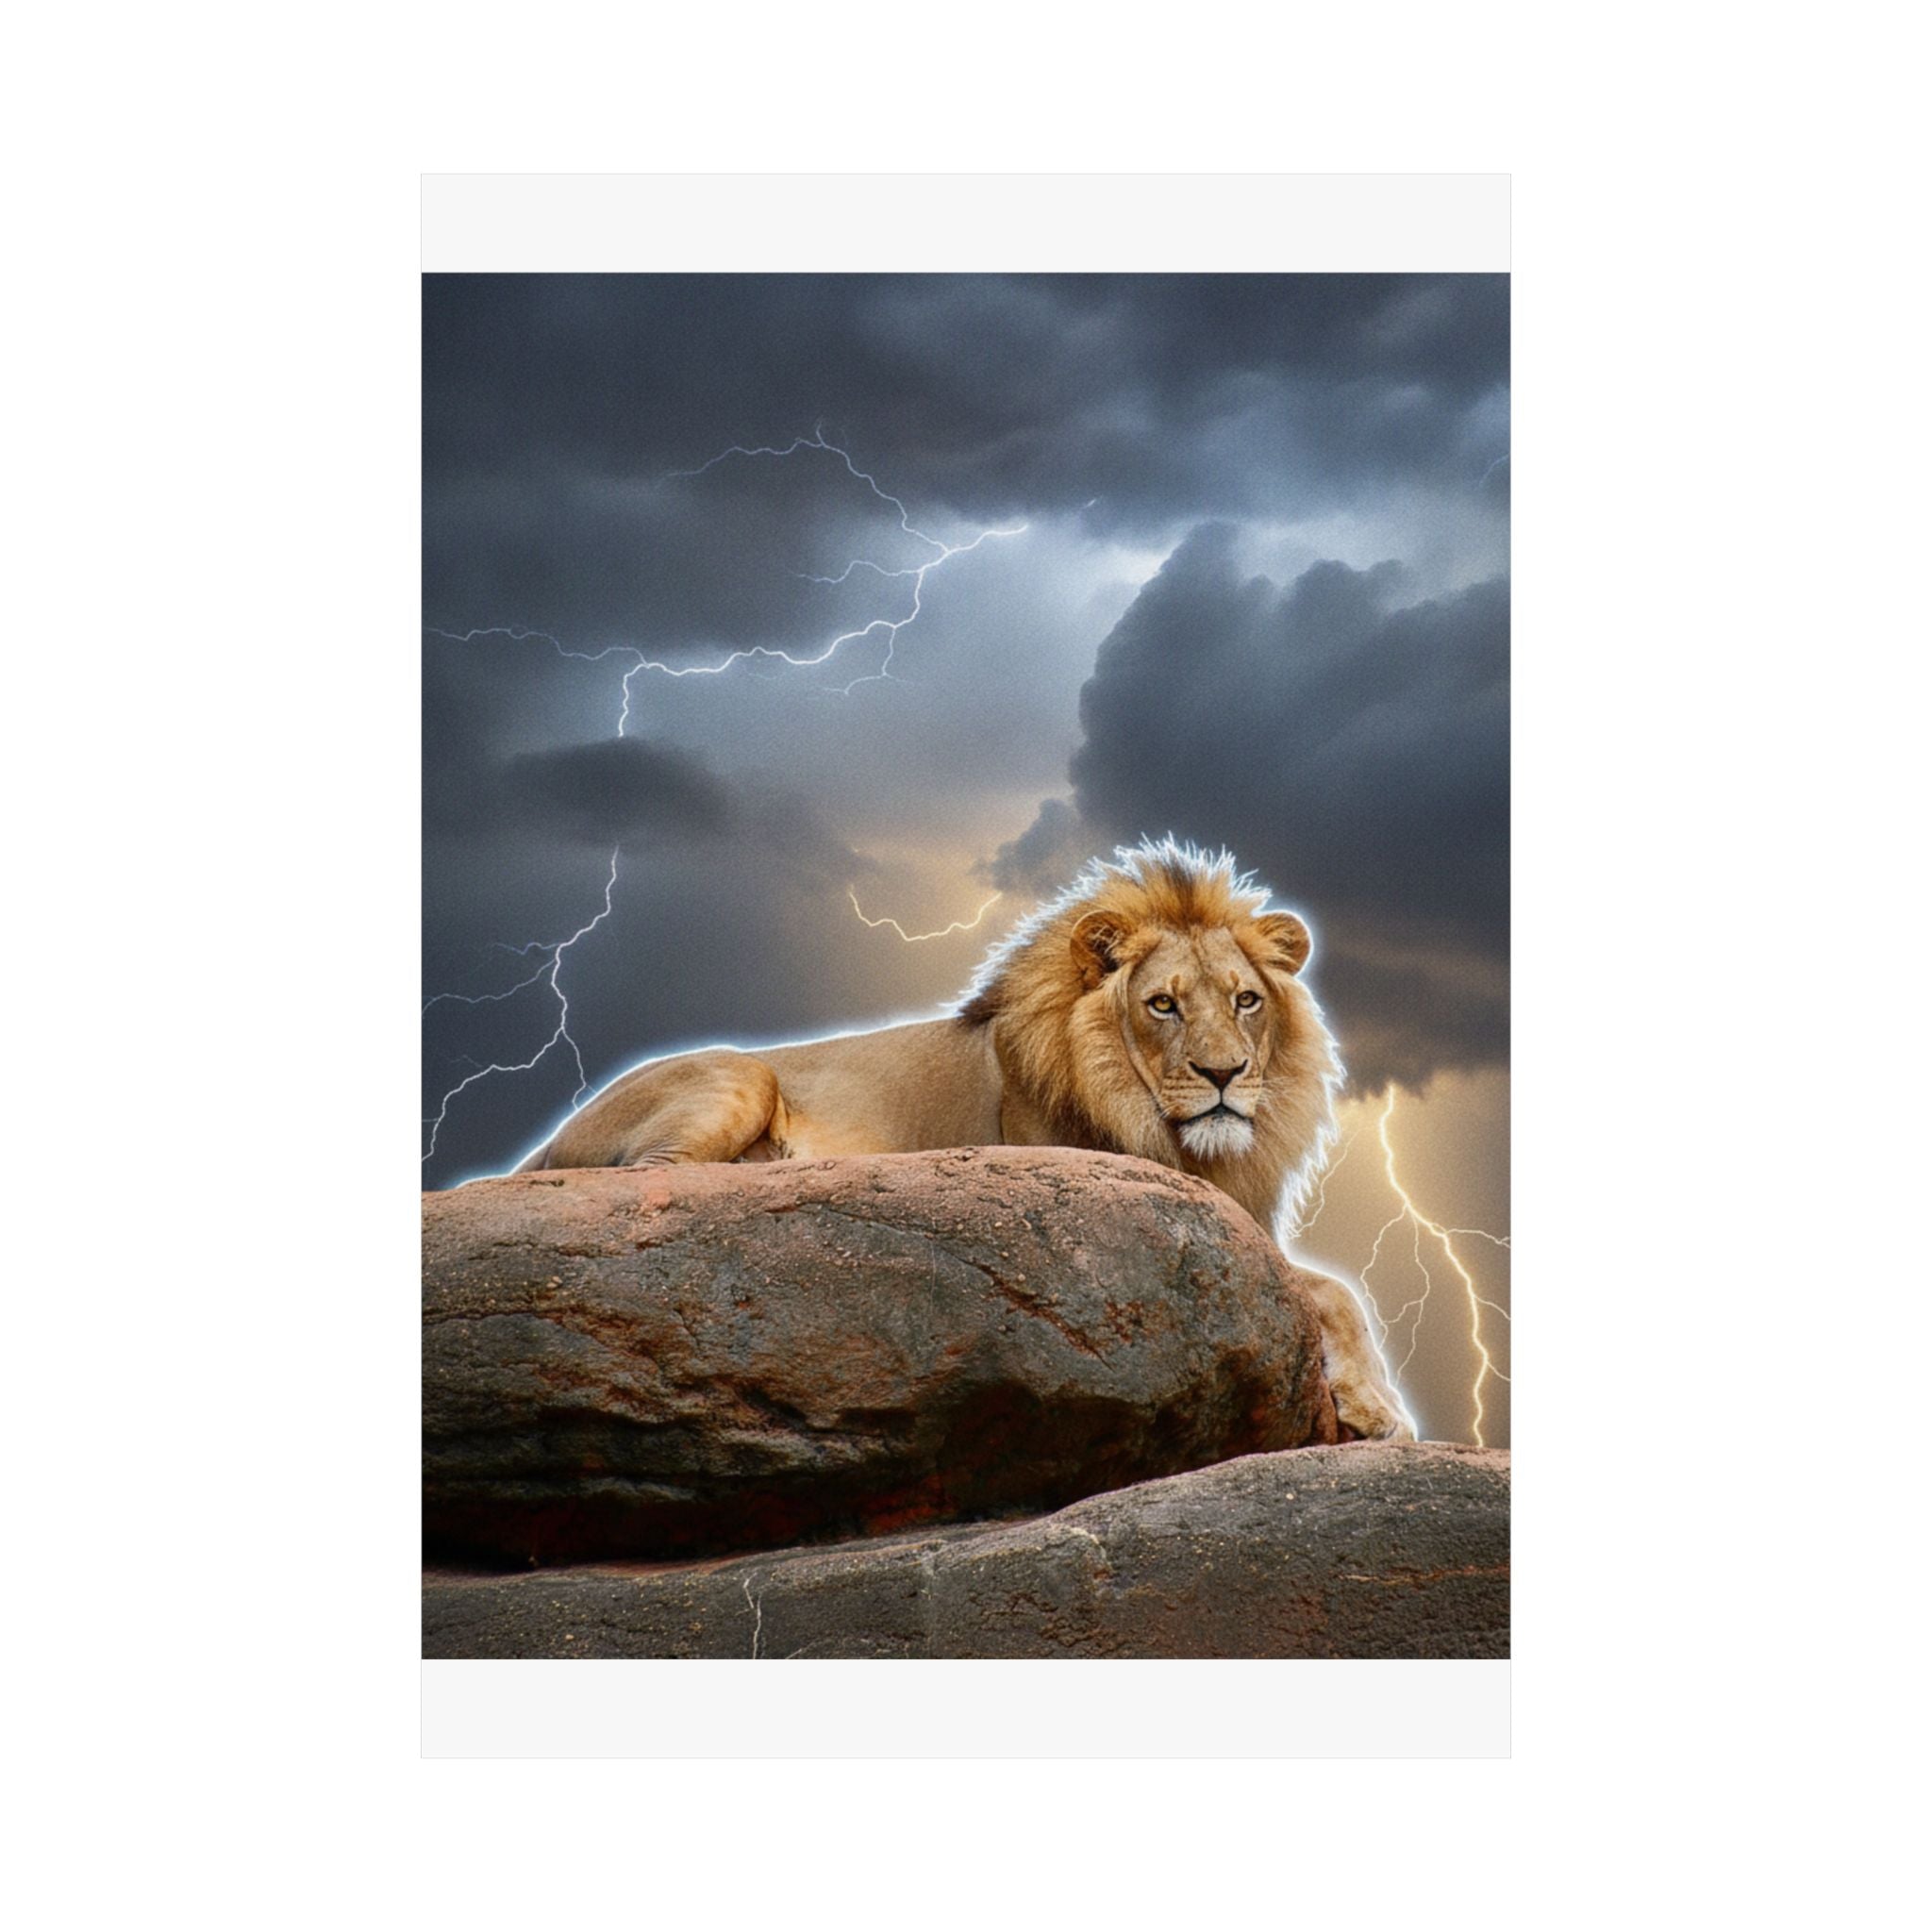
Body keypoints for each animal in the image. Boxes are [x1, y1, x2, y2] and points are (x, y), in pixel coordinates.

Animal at [515, 838, 1413, 1439]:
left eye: (1245, 1000)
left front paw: (1375, 1407)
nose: (1225, 1074)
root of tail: (551, 1134)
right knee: (653, 1180)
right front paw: (1380, 1411)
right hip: (739, 1079)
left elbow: (1340, 1290)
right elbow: (1324, 1288)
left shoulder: (1243, 1217)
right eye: (1163, 1004)